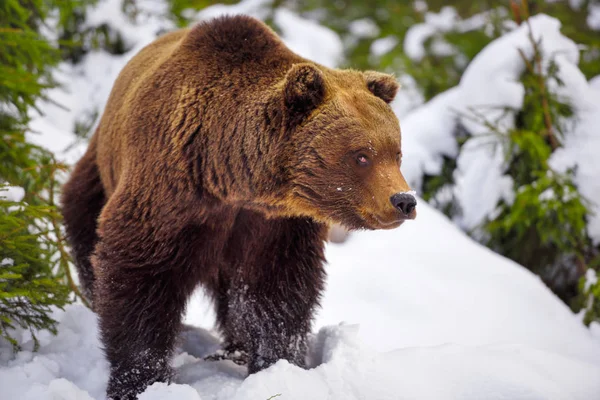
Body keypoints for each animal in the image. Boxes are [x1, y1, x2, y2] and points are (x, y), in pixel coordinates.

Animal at [61, 14, 418, 400]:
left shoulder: (274, 224)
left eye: (396, 152)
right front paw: (141, 380)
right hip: (99, 171)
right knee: (85, 225)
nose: (404, 200)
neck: (229, 178)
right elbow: (139, 276)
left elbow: (274, 292)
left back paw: (234, 350)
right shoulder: (169, 195)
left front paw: (277, 365)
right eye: (361, 156)